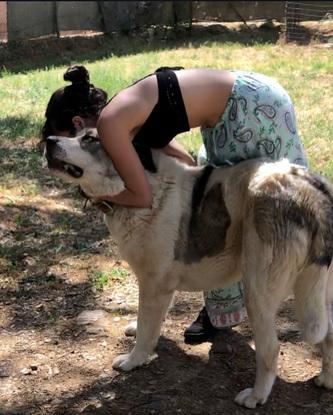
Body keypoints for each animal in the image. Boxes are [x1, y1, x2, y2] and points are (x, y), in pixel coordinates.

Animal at [44, 130, 332, 410]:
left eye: (90, 138)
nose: (48, 140)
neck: (146, 187)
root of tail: (313, 192)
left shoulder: (154, 284)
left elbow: (147, 329)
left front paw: (134, 359)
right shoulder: (160, 285)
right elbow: (150, 321)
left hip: (257, 292)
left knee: (271, 348)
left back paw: (256, 396)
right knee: (329, 333)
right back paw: (326, 380)